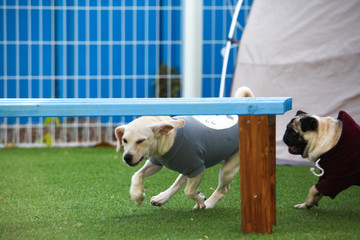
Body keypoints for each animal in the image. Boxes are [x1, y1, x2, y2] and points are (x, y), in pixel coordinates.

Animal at [114, 87, 253, 209]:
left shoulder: (198, 168)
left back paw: (208, 204)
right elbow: (137, 174)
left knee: (223, 189)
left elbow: (188, 191)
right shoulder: (156, 163)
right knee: (179, 182)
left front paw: (201, 201)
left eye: (141, 141)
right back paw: (162, 198)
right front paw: (137, 195)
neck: (170, 138)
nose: (127, 158)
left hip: (228, 168)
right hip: (188, 167)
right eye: (125, 140)